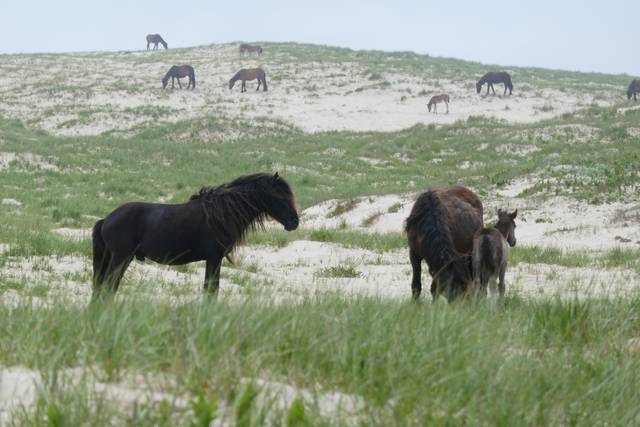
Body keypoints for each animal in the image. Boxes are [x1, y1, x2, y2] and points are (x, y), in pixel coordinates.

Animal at [91, 172, 298, 300]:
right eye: (280, 197)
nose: (294, 222)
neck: (222, 213)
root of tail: (106, 219)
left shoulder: (214, 260)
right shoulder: (214, 258)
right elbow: (211, 290)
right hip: (121, 258)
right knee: (109, 287)